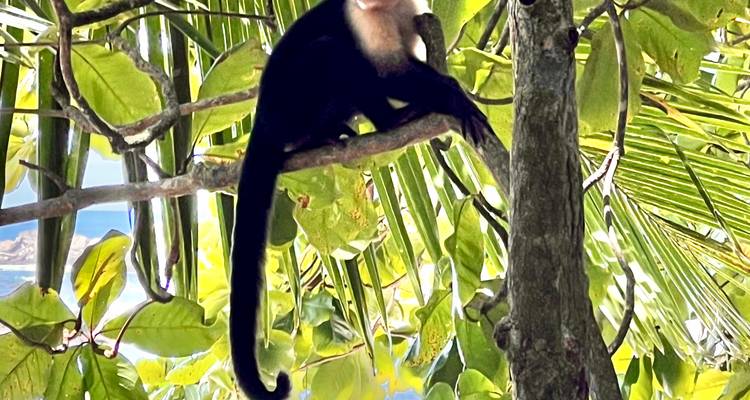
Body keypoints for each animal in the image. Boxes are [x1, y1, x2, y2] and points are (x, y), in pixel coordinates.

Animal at [230, 0, 495, 398]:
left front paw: (450, 88)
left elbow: (406, 60)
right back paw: (388, 121)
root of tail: (261, 122)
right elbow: (387, 72)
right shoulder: (361, 17)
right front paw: (452, 96)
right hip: (290, 107)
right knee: (334, 54)